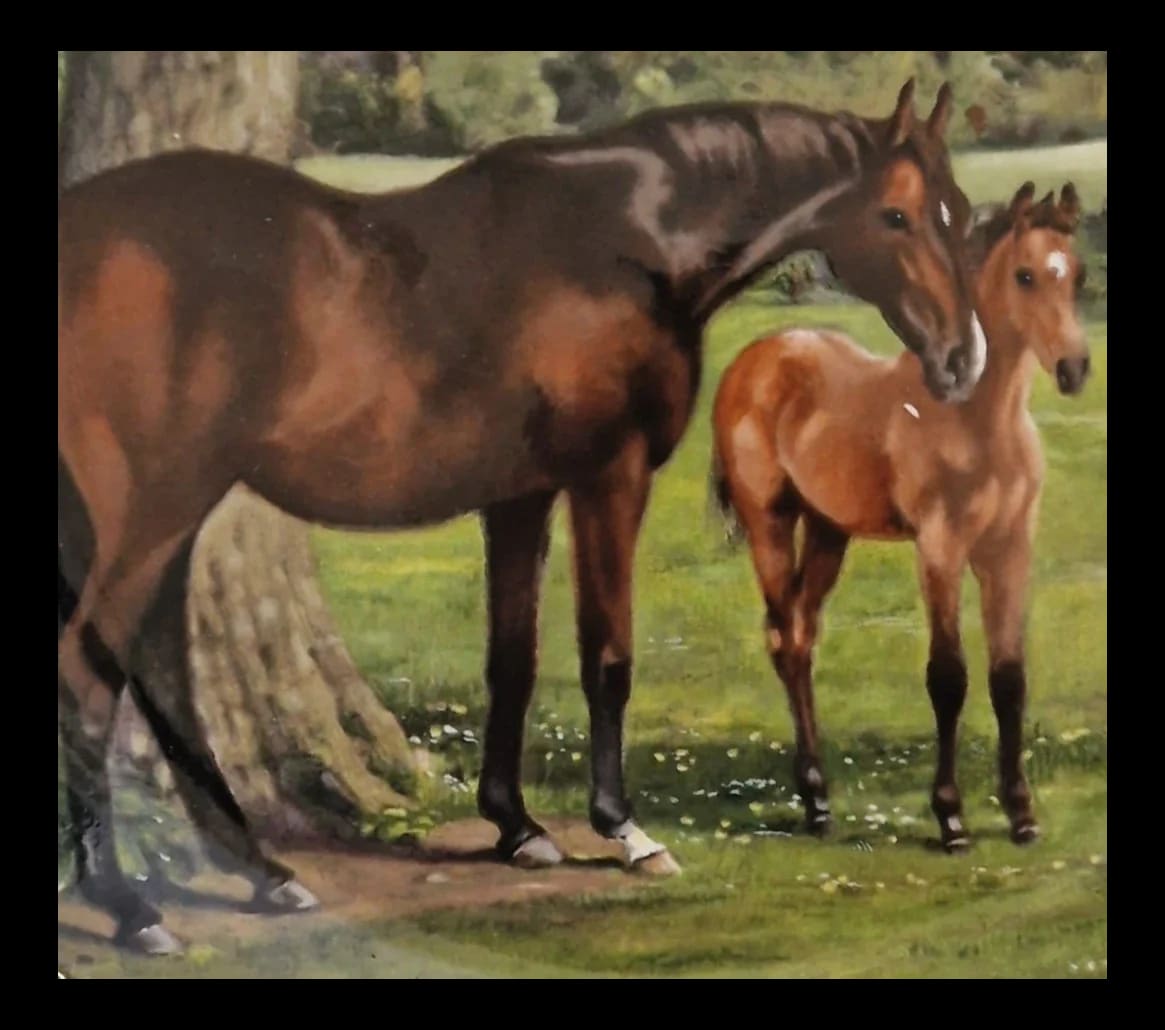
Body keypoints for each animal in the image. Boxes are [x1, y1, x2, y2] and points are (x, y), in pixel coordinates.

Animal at [58, 78, 985, 954]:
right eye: (896, 215)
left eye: (963, 213)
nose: (960, 360)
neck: (625, 241)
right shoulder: (607, 478)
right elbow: (606, 656)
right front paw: (624, 831)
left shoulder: (519, 495)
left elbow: (513, 659)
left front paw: (516, 826)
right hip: (149, 514)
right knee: (90, 674)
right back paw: (131, 909)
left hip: (173, 514)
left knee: (163, 675)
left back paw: (261, 873)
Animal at [710, 182, 1089, 852]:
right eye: (1023, 275)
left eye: (1075, 273)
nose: (1074, 369)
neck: (976, 421)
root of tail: (753, 360)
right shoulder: (939, 549)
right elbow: (948, 676)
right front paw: (951, 818)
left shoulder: (1009, 551)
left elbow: (1009, 678)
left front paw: (1021, 815)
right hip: (770, 524)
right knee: (783, 640)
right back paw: (814, 799)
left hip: (828, 531)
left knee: (801, 637)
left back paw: (821, 802)